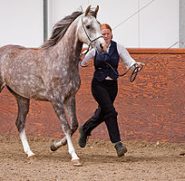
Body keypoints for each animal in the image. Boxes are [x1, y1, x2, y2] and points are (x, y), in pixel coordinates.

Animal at [0, 5, 106, 165]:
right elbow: (66, 126)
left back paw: (30, 153)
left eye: (99, 24)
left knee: (20, 123)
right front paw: (74, 156)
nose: (103, 46)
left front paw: (54, 146)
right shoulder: (56, 100)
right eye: (88, 26)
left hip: (21, 97)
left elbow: (74, 125)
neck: (61, 59)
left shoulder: (70, 98)